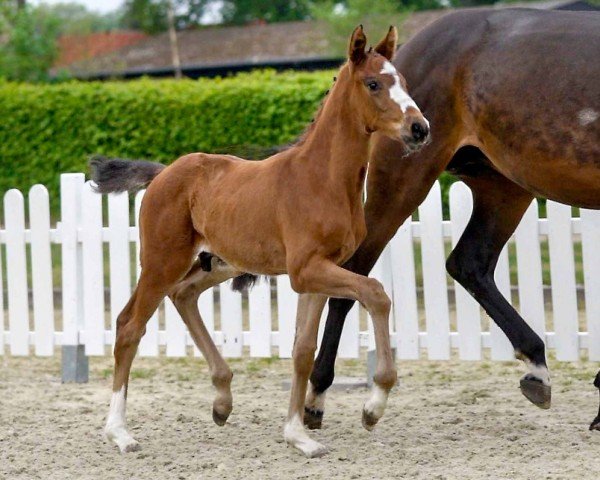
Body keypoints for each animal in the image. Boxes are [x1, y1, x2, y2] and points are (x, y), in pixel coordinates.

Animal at [95, 26, 432, 458]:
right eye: (373, 83)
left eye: (403, 81)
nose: (420, 129)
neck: (322, 179)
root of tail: (161, 174)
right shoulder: (306, 270)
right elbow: (376, 293)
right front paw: (373, 406)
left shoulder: (317, 274)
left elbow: (303, 349)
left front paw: (298, 434)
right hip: (161, 262)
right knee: (129, 326)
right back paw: (119, 432)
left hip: (218, 262)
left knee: (183, 295)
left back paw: (222, 400)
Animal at [304, 6, 600, 428]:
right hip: (403, 180)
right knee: (355, 274)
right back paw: (327, 398)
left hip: (503, 188)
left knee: (468, 263)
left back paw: (536, 369)